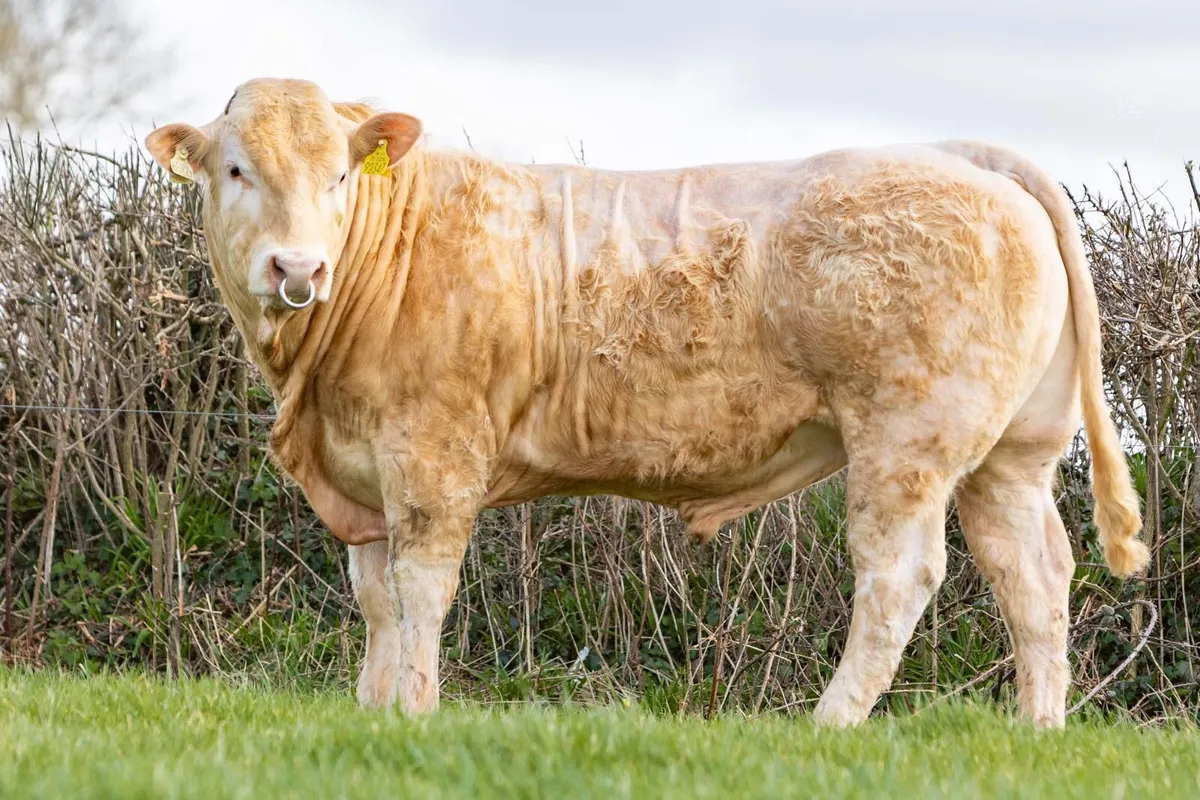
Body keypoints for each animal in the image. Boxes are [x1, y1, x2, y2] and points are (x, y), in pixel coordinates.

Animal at [144, 77, 1148, 729]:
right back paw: (1038, 729)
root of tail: (961, 154)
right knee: (1035, 577)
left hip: (908, 440)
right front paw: (372, 710)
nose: (298, 267)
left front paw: (418, 711)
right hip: (1011, 454)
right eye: (236, 170)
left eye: (341, 176)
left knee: (900, 576)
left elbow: (420, 590)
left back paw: (829, 723)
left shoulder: (432, 453)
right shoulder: (362, 475)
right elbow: (375, 601)